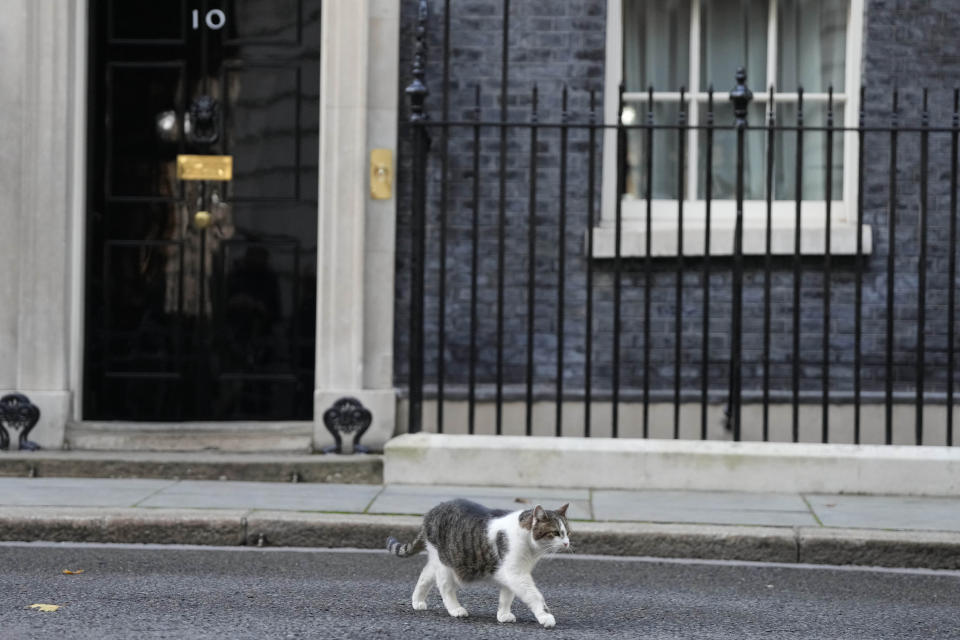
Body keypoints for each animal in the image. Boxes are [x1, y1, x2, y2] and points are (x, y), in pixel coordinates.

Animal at [388, 498, 572, 628]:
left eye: (568, 533)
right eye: (556, 533)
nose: (567, 543)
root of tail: (431, 512)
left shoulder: (511, 572)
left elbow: (507, 596)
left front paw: (503, 615)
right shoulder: (516, 573)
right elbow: (535, 595)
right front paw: (545, 616)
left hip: (438, 559)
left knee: (424, 575)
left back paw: (417, 601)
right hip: (446, 564)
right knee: (445, 587)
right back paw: (455, 609)